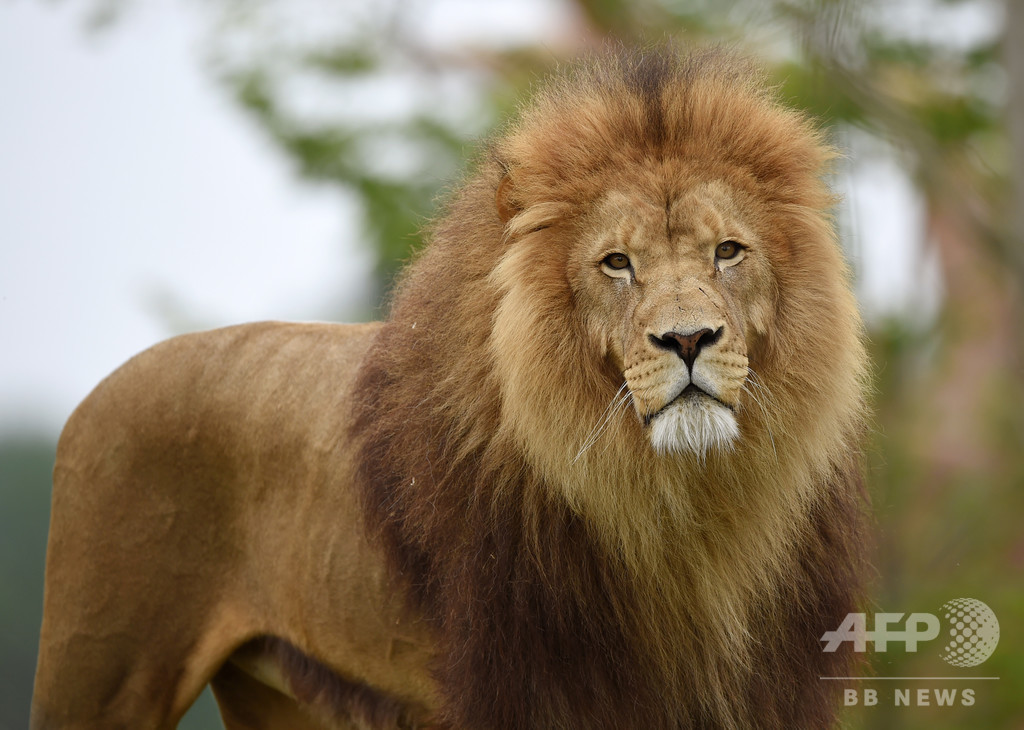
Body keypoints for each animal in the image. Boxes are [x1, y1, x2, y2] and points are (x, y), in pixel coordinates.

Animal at [32, 51, 868, 728]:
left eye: (728, 251)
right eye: (616, 263)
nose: (688, 340)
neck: (685, 514)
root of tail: (98, 394)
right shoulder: (524, 689)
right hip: (99, 669)